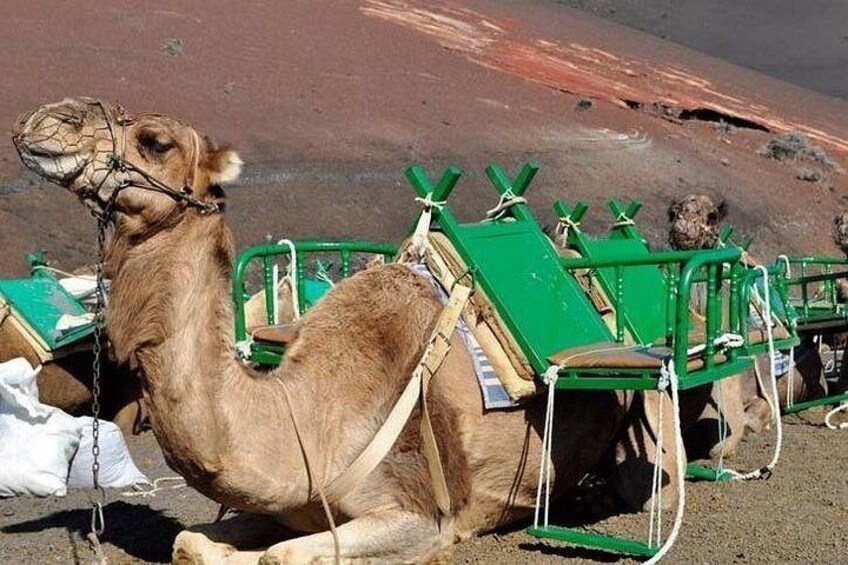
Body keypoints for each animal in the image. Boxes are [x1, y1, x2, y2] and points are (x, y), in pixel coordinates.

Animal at [14, 97, 683, 564]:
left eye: (154, 141)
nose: (49, 118)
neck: (310, 413)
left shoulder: (421, 513)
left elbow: (284, 556)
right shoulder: (292, 504)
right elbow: (191, 541)